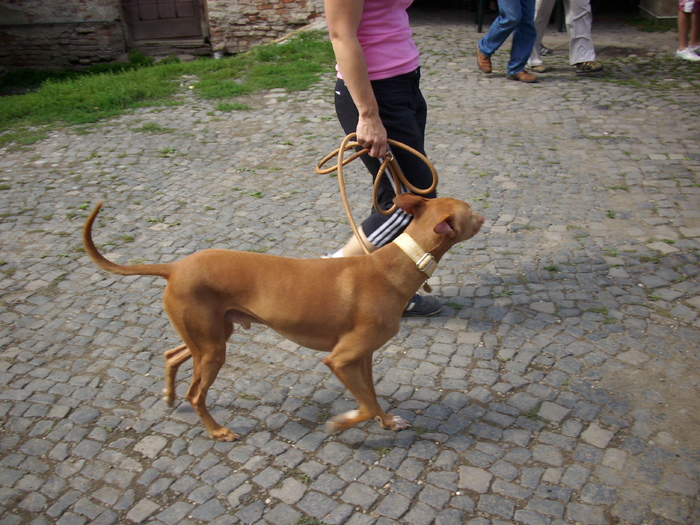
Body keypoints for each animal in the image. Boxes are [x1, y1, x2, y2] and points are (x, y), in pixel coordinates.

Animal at [82, 194, 484, 440]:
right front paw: (341, 423)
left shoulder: (363, 357)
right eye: (470, 210)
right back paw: (216, 430)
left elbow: (372, 396)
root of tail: (175, 266)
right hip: (212, 348)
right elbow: (366, 404)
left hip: (213, 336)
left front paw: (387, 422)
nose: (485, 213)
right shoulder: (339, 359)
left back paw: (167, 396)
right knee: (196, 394)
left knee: (171, 356)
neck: (393, 265)